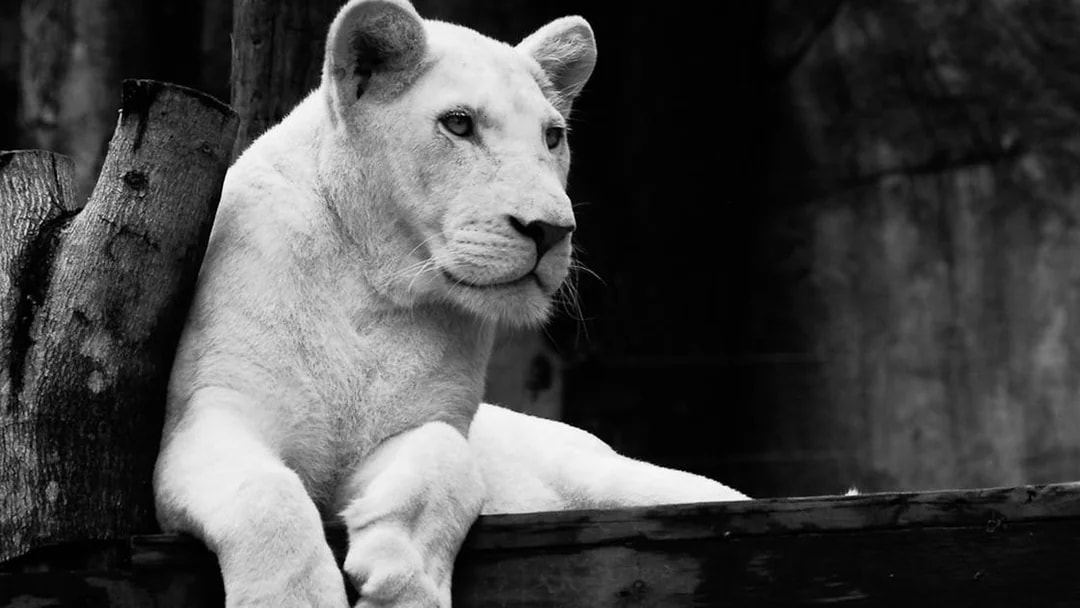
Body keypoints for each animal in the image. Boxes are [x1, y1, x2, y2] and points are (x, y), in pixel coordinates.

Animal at [153, 0, 747, 606]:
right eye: (459, 124)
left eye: (553, 136)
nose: (551, 231)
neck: (376, 284)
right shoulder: (208, 415)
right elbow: (267, 494)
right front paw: (298, 599)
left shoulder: (431, 421)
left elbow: (446, 460)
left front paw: (404, 579)